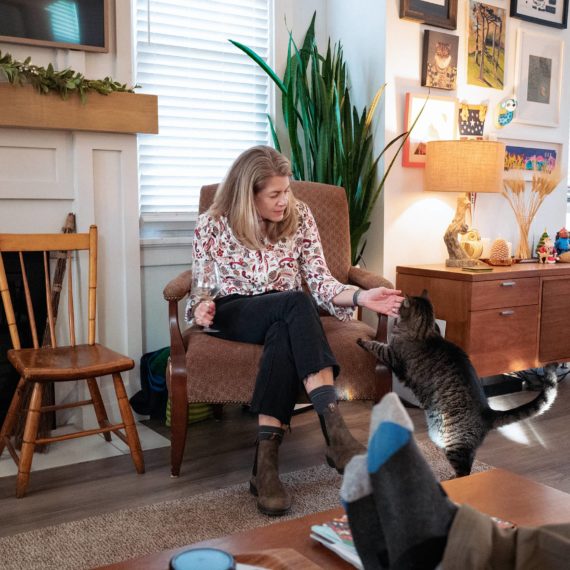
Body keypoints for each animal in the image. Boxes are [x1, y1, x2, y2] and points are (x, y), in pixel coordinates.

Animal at [358, 288, 556, 474]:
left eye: (401, 306)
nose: (397, 307)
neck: (425, 329)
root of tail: (488, 413)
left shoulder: (392, 355)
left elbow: (377, 346)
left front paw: (362, 340)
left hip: (455, 442)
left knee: (464, 471)